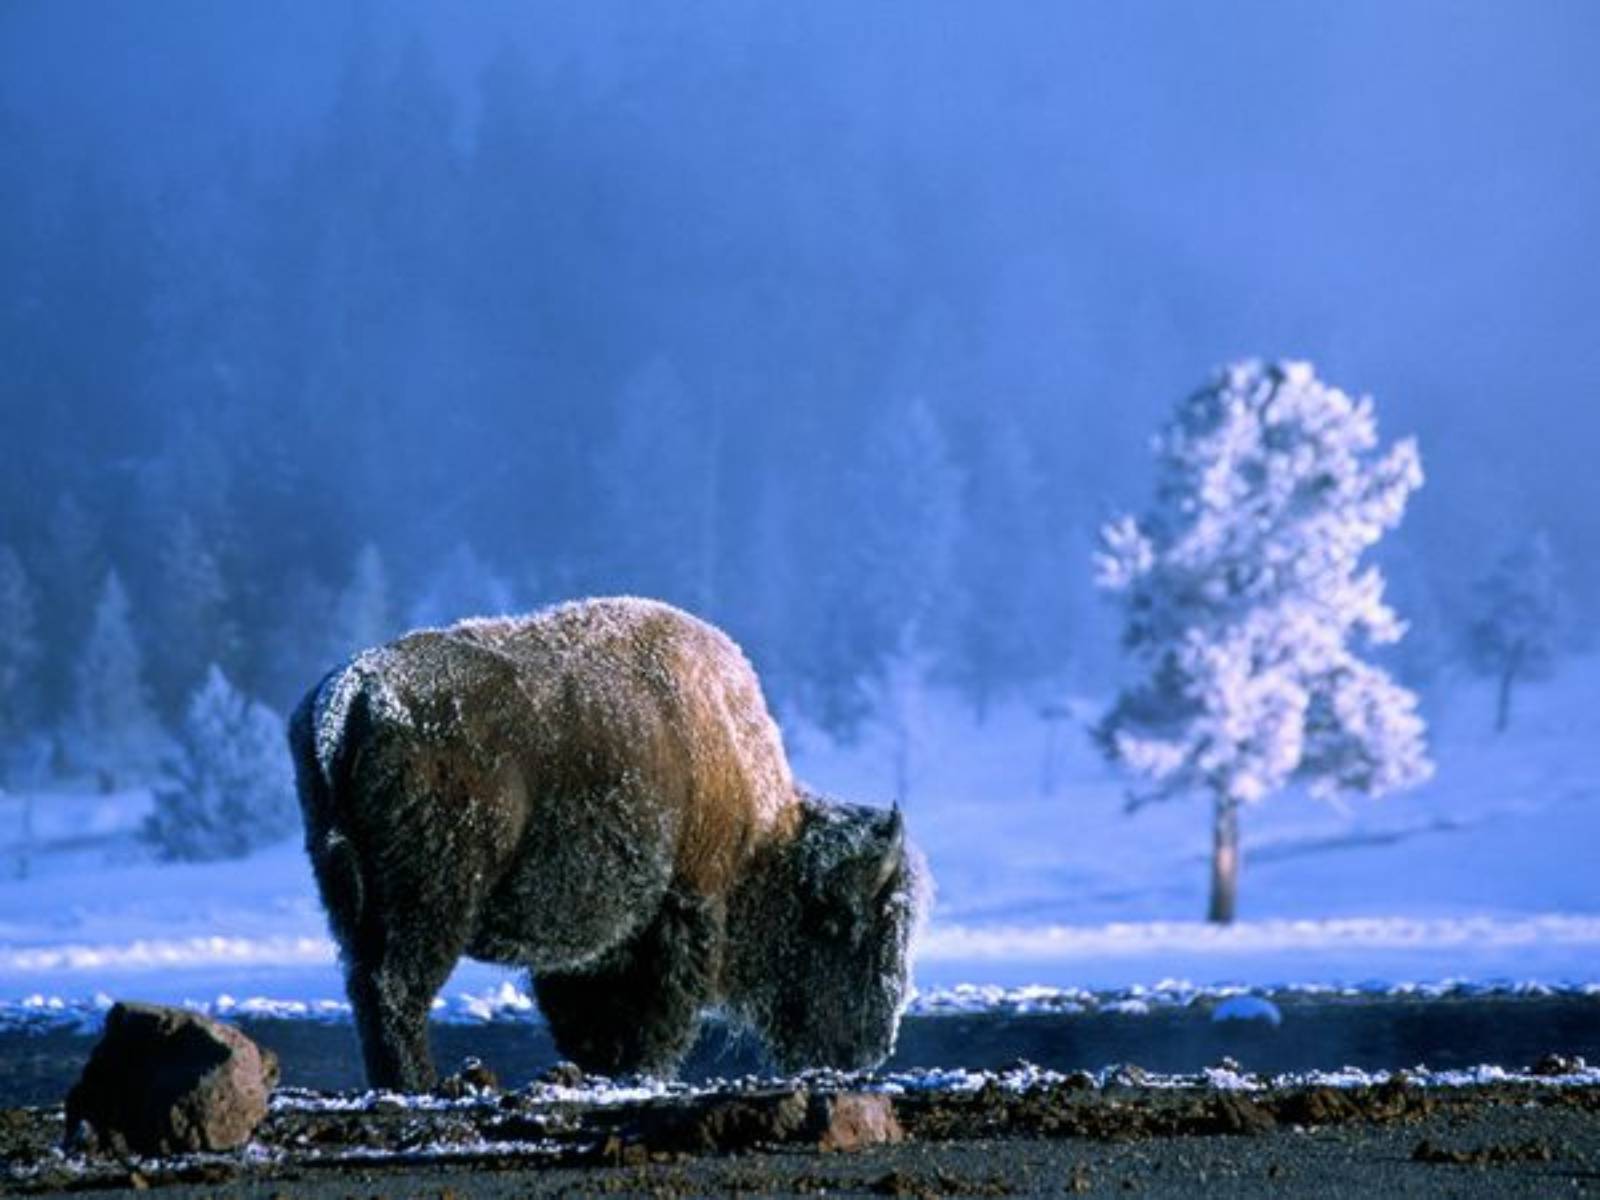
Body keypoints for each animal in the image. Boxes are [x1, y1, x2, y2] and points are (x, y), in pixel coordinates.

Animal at [288, 598, 928, 1094]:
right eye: (851, 929)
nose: (869, 1051)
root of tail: (354, 696)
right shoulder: (683, 907)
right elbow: (659, 1010)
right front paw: (645, 1070)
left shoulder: (587, 949)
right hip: (432, 900)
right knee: (395, 988)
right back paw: (420, 1082)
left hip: (350, 895)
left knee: (367, 986)